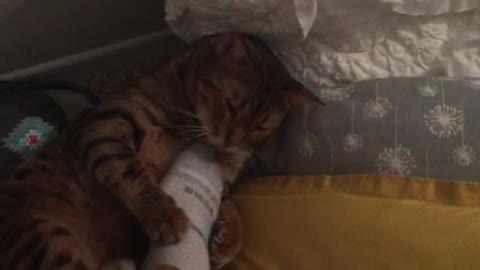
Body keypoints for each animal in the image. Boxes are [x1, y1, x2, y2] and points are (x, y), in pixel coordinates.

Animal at [0, 32, 322, 268]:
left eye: (260, 126)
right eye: (231, 105)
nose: (232, 140)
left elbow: (231, 204)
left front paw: (229, 238)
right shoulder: (105, 124)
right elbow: (131, 173)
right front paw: (162, 213)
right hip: (46, 238)